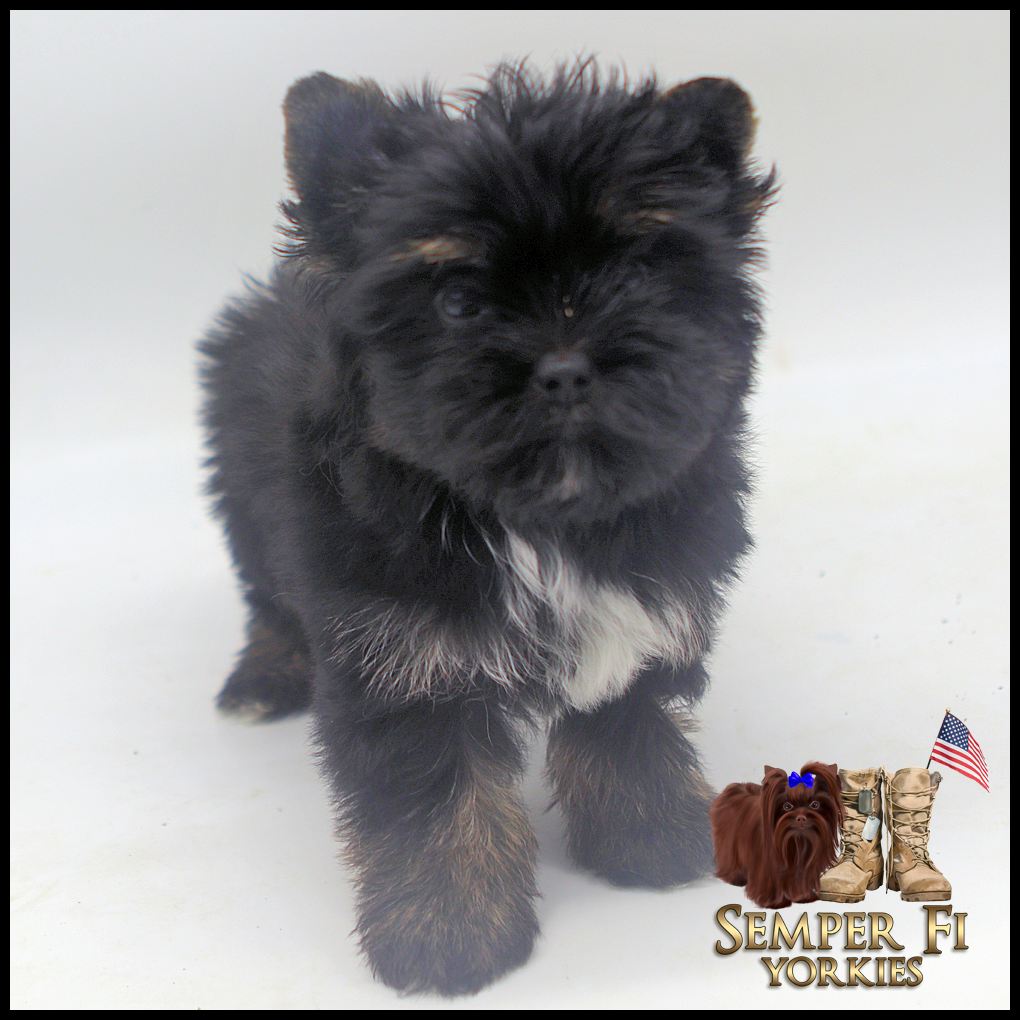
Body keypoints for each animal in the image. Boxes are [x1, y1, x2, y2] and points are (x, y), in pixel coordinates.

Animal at [200, 61, 775, 994]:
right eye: (461, 301)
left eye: (633, 277)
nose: (566, 368)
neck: (534, 520)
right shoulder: (398, 651)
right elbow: (435, 799)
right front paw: (448, 932)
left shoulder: (647, 605)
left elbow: (627, 726)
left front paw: (651, 836)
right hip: (248, 505)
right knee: (270, 599)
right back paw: (264, 677)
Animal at [710, 763, 844, 909]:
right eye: (787, 806)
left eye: (815, 804)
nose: (801, 817)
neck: (797, 840)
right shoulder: (767, 866)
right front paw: (775, 902)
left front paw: (803, 896)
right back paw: (735, 879)